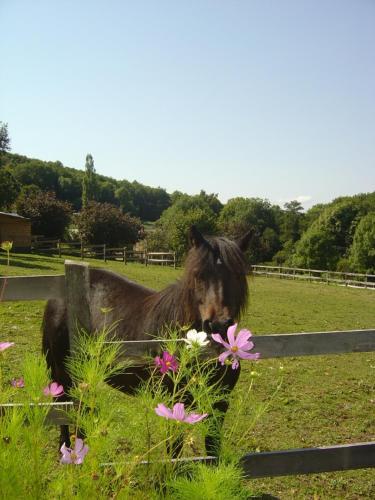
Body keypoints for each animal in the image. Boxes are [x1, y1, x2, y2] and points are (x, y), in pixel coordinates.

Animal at [41, 227, 253, 458]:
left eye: (238, 275)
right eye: (199, 275)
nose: (218, 325)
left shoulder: (219, 406)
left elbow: (213, 452)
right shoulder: (173, 404)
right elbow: (174, 452)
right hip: (64, 371)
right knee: (63, 408)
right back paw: (67, 449)